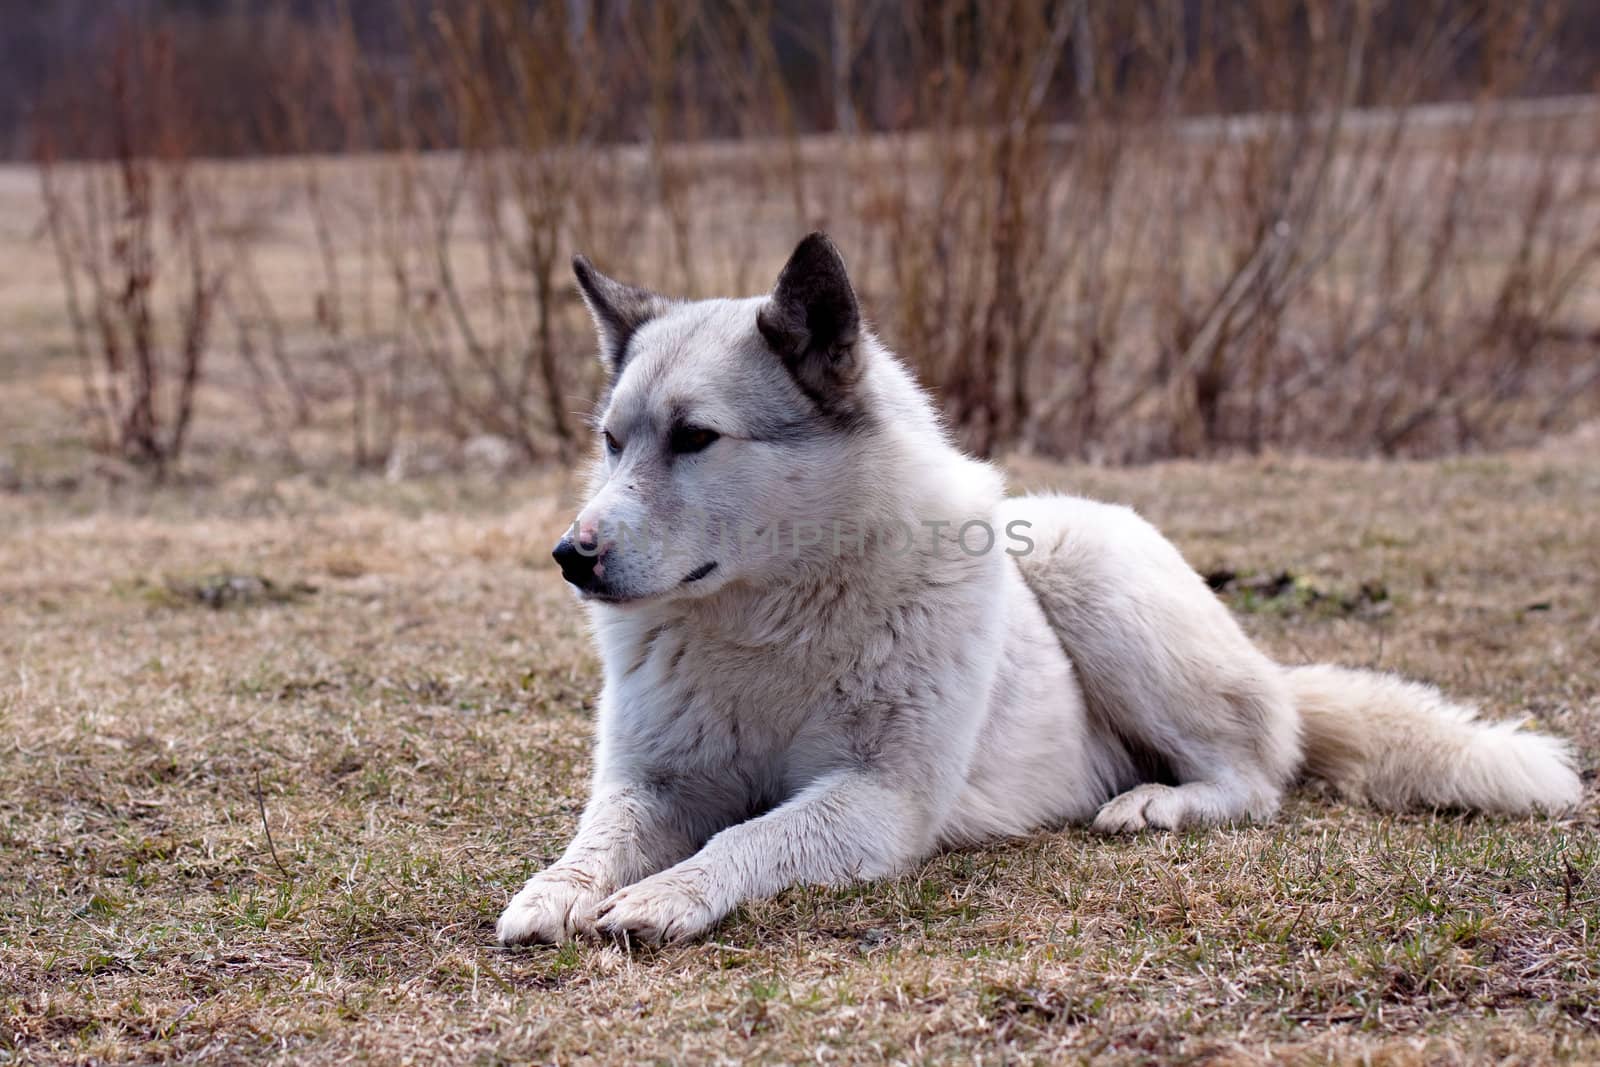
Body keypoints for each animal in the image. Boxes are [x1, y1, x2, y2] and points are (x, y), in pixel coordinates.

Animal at [492, 233, 1580, 940]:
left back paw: (1158, 803)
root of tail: (1271, 669)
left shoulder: (875, 799)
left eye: (695, 437)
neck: (770, 616)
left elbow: (748, 835)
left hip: (1085, 566)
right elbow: (597, 837)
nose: (570, 555)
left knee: (1256, 774)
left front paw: (665, 895)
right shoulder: (654, 784)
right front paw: (555, 889)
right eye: (612, 441)